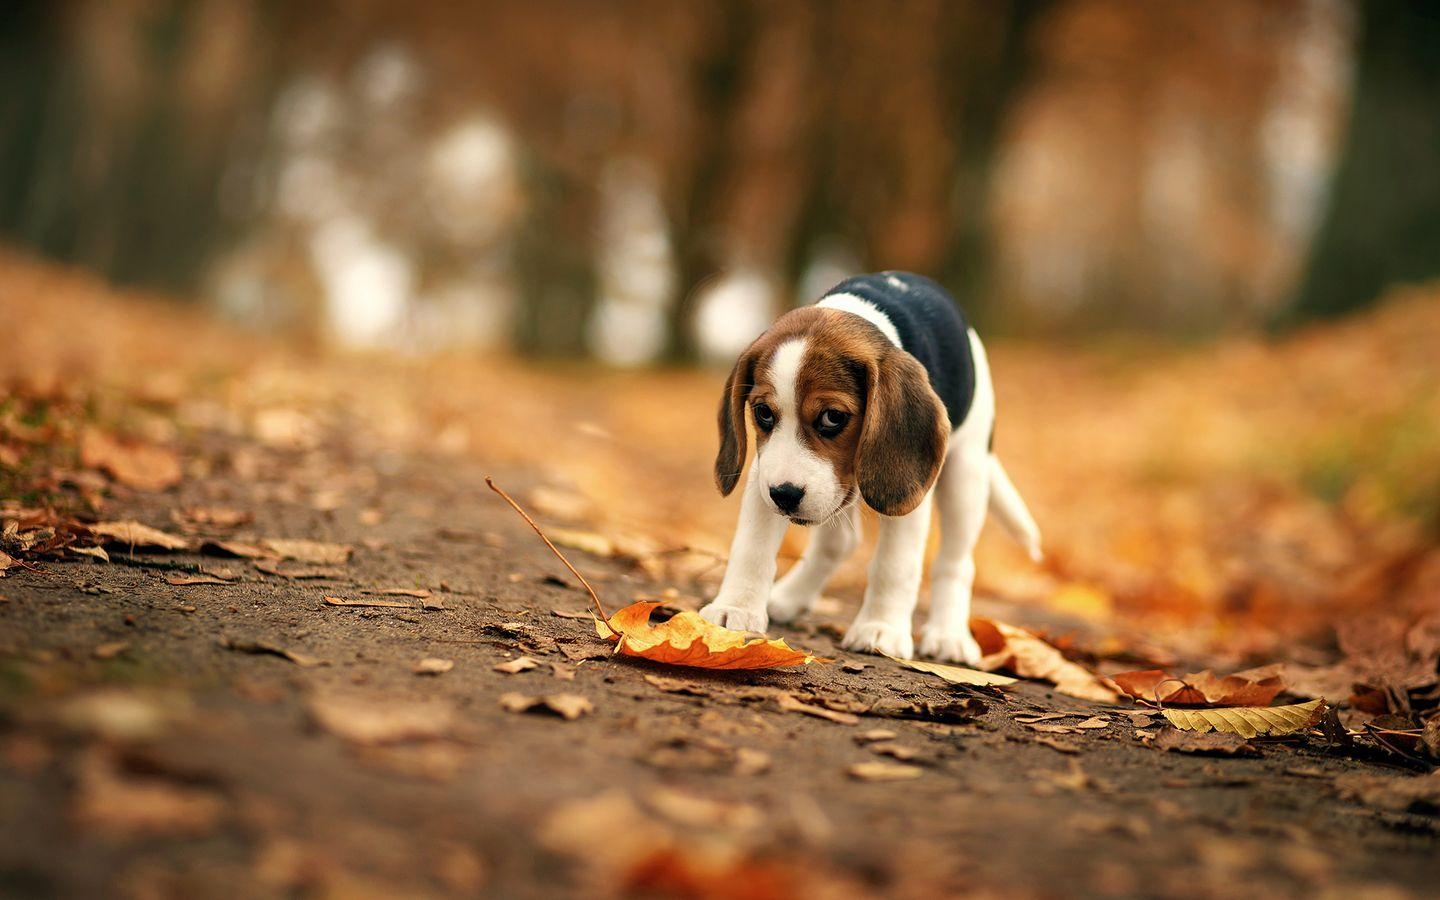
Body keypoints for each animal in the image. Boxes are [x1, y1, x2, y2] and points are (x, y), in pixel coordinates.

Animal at [694, 270, 1036, 662]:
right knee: (839, 543)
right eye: (763, 413)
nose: (785, 495)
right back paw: (789, 598)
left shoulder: (910, 499)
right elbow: (752, 546)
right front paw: (736, 607)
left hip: (967, 472)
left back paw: (949, 635)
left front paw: (881, 629)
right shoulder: (763, 474)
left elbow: (895, 565)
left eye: (832, 417)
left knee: (955, 562)